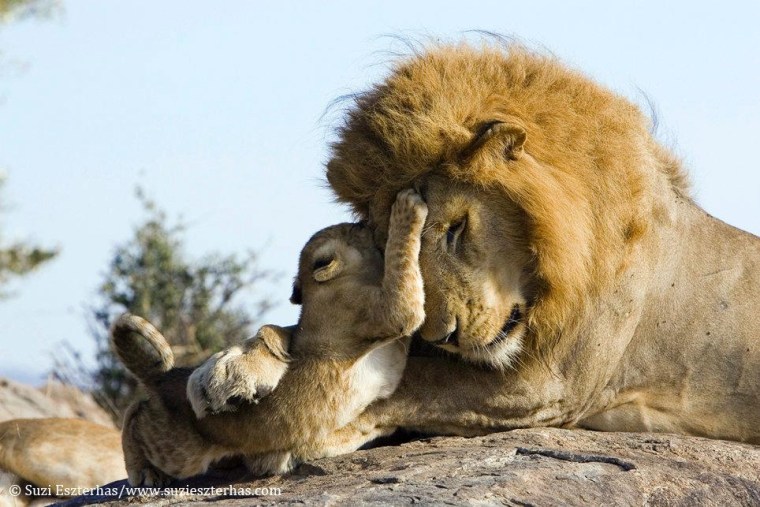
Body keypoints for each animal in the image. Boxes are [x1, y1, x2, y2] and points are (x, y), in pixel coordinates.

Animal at [197, 42, 760, 444]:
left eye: (455, 228)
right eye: (392, 241)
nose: (442, 336)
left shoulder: (549, 382)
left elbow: (413, 378)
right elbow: (318, 334)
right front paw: (226, 369)